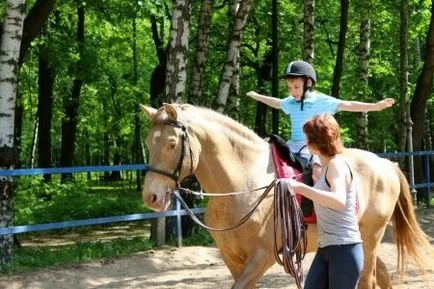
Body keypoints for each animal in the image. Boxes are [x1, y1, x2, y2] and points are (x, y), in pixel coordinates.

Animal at [141, 102, 432, 286]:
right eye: (148, 142)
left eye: (171, 143)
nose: (150, 197)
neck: (244, 184)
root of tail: (386, 164)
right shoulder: (232, 258)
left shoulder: (263, 256)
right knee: (381, 275)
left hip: (371, 238)